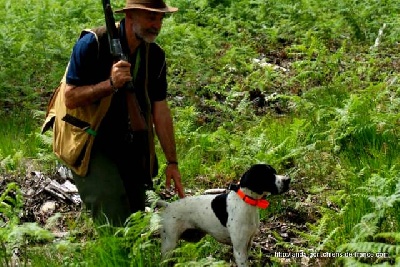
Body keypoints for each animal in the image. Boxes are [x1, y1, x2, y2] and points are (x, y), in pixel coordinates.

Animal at [156, 164, 290, 266]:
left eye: (274, 172)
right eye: (267, 175)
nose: (288, 179)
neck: (246, 201)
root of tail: (168, 205)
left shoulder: (248, 244)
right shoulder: (239, 250)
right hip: (168, 245)